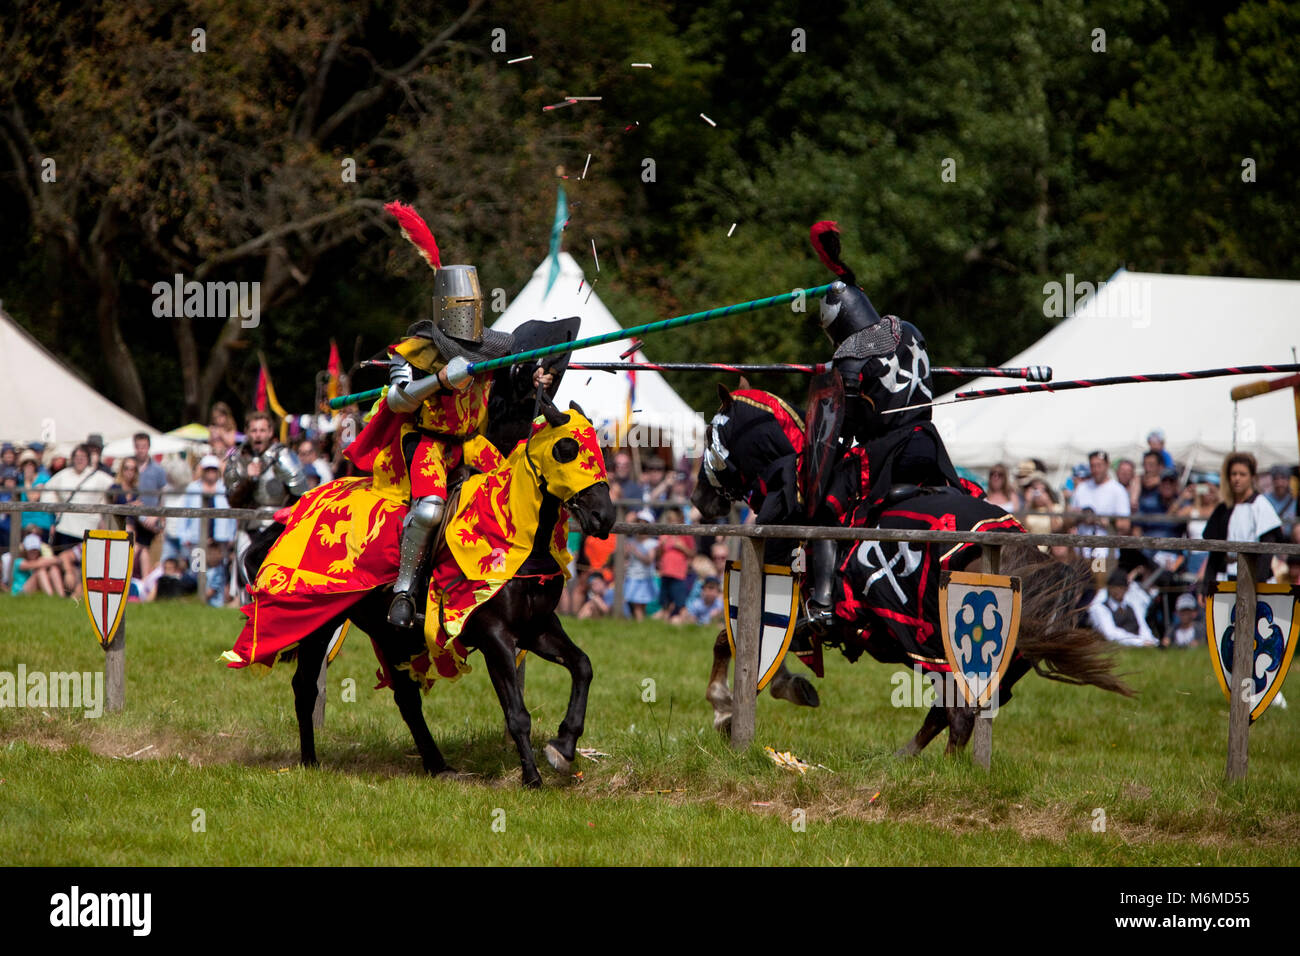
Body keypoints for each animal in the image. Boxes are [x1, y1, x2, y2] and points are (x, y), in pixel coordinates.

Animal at [244, 400, 613, 790]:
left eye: (599, 448)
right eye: (566, 449)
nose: (604, 516)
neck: (515, 538)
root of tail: (295, 511)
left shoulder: (537, 628)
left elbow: (583, 666)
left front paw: (564, 746)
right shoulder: (495, 635)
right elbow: (517, 713)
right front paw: (532, 777)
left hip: (387, 630)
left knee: (406, 698)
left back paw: (437, 764)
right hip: (319, 621)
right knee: (305, 688)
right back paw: (310, 762)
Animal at [691, 387, 1128, 754]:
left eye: (710, 433)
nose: (699, 499)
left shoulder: (787, 602)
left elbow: (727, 640)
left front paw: (725, 707)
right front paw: (778, 690)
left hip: (940, 651)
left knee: (958, 713)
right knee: (949, 712)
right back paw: (903, 760)